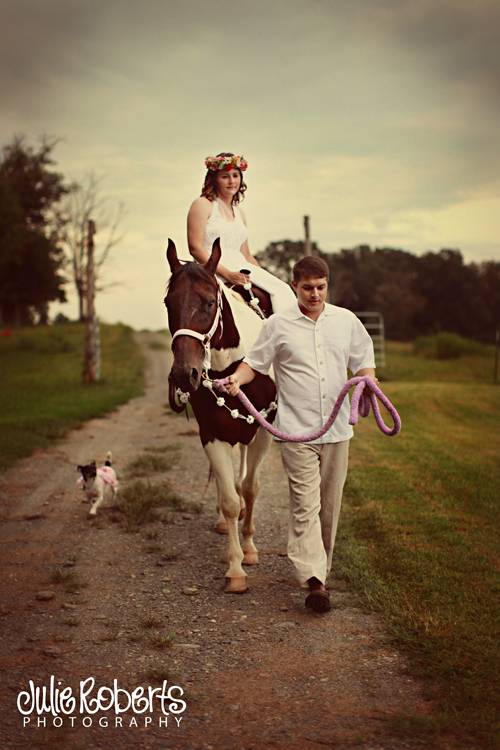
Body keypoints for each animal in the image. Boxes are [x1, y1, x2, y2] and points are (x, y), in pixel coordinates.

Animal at [165, 239, 278, 592]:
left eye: (208, 302)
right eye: (168, 303)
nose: (184, 374)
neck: (233, 366)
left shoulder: (263, 432)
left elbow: (251, 487)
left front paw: (250, 550)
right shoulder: (213, 434)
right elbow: (228, 497)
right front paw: (235, 568)